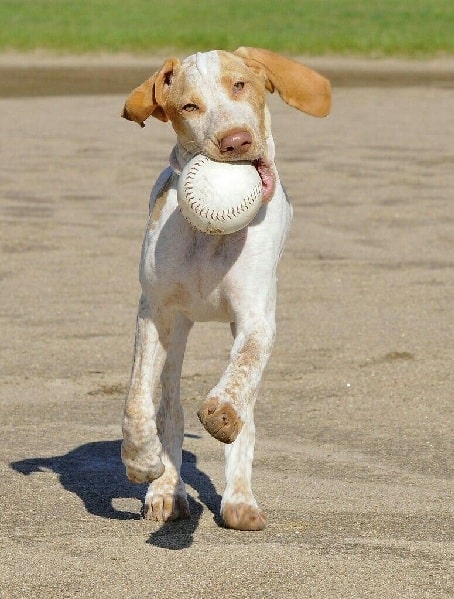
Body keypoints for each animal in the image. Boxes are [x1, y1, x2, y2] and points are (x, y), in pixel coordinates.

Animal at [120, 47, 330, 528]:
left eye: (240, 85)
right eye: (188, 106)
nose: (235, 141)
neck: (211, 239)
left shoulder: (256, 318)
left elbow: (243, 373)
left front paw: (224, 413)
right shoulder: (155, 313)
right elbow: (139, 397)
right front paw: (141, 461)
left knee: (245, 403)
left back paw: (239, 500)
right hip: (178, 333)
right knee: (169, 406)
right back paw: (167, 490)